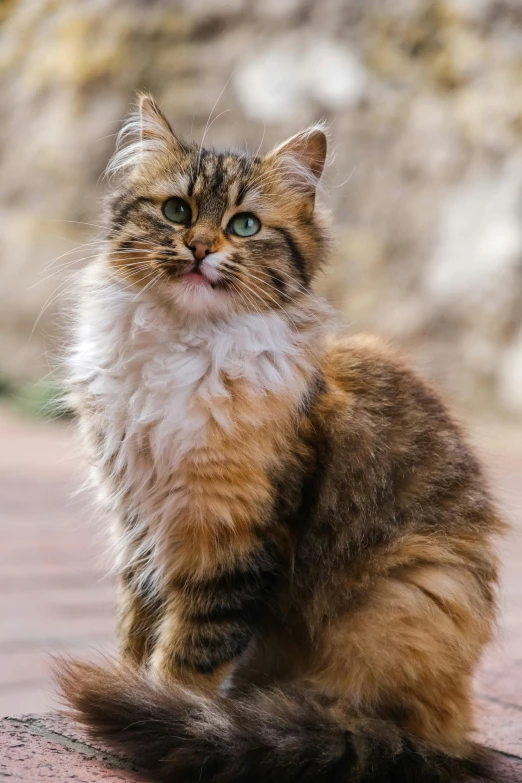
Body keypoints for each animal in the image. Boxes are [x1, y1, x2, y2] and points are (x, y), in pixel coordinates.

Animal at [54, 95, 502, 780]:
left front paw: (162, 709)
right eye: (177, 211)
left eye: (244, 226)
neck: (181, 347)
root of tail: (453, 734)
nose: (200, 247)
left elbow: (189, 654)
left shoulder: (231, 535)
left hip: (410, 596)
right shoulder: (137, 522)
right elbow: (138, 628)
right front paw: (127, 691)